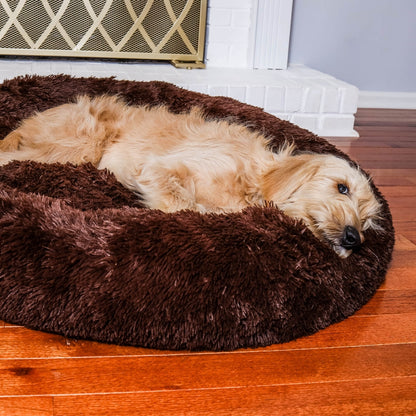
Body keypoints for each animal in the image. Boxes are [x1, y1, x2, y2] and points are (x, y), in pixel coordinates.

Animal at [0, 95, 382, 256]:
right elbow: (184, 204)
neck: (253, 180)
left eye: (367, 220)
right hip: (76, 147)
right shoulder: (162, 170)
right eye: (341, 188)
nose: (354, 239)